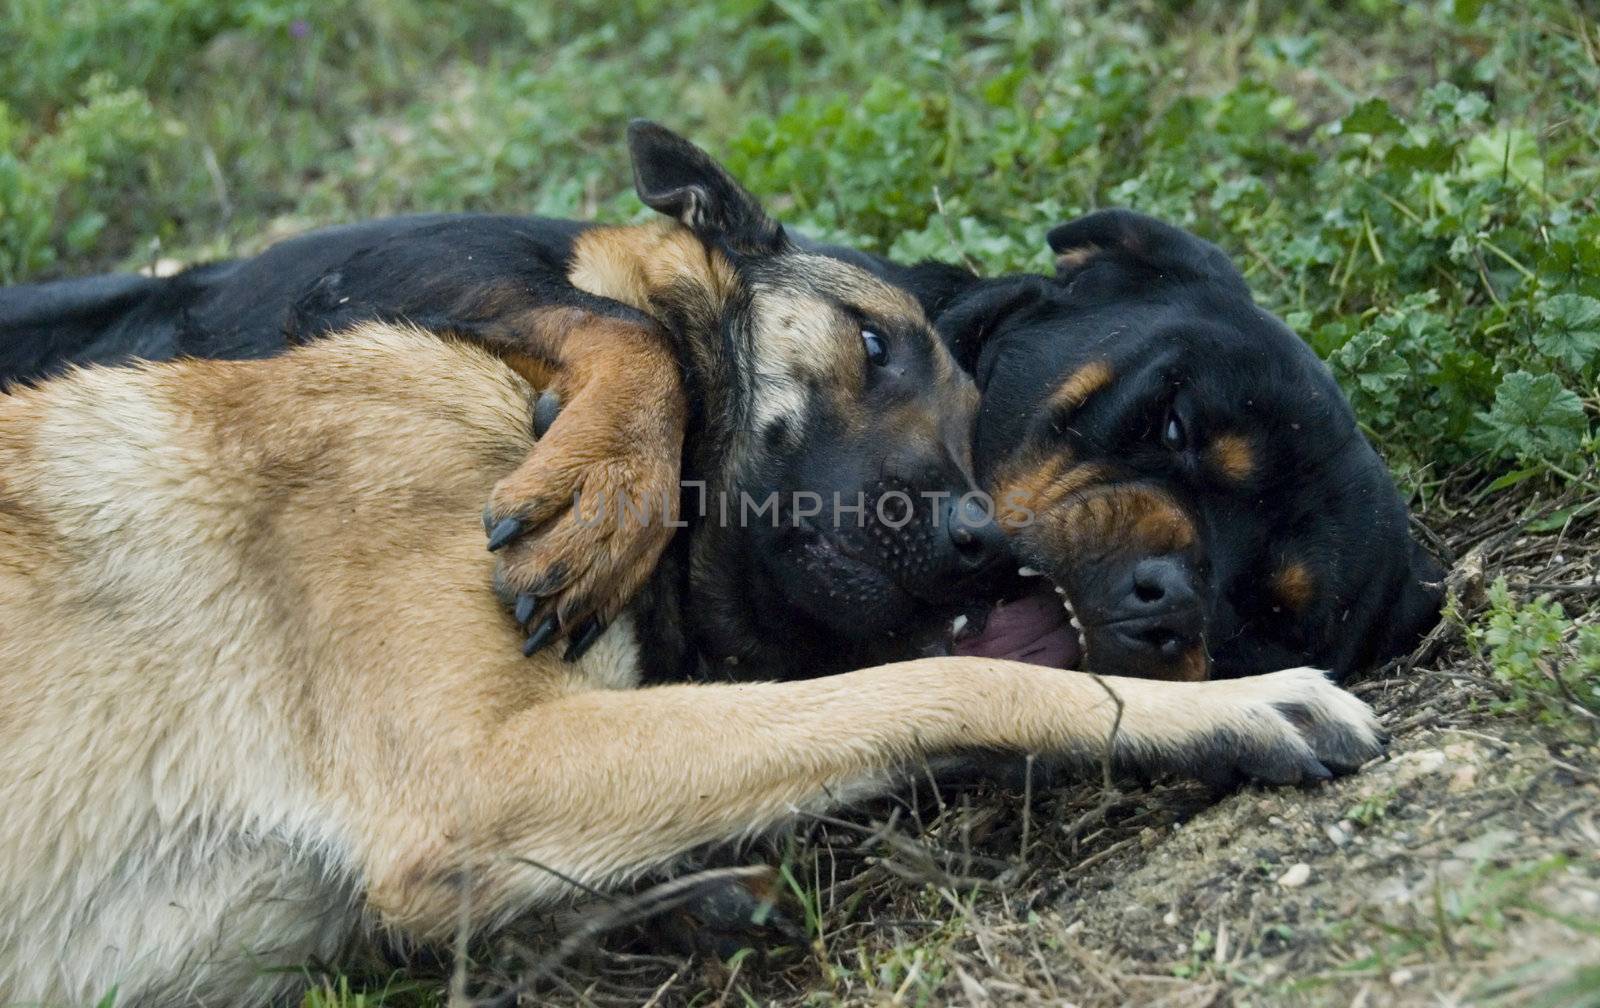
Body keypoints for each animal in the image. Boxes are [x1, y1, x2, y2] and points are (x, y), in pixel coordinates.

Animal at [0, 124, 1382, 1004]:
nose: (975, 536)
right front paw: (1237, 710)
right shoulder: (474, 778)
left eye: (1269, 607)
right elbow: (929, 687)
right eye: (871, 347)